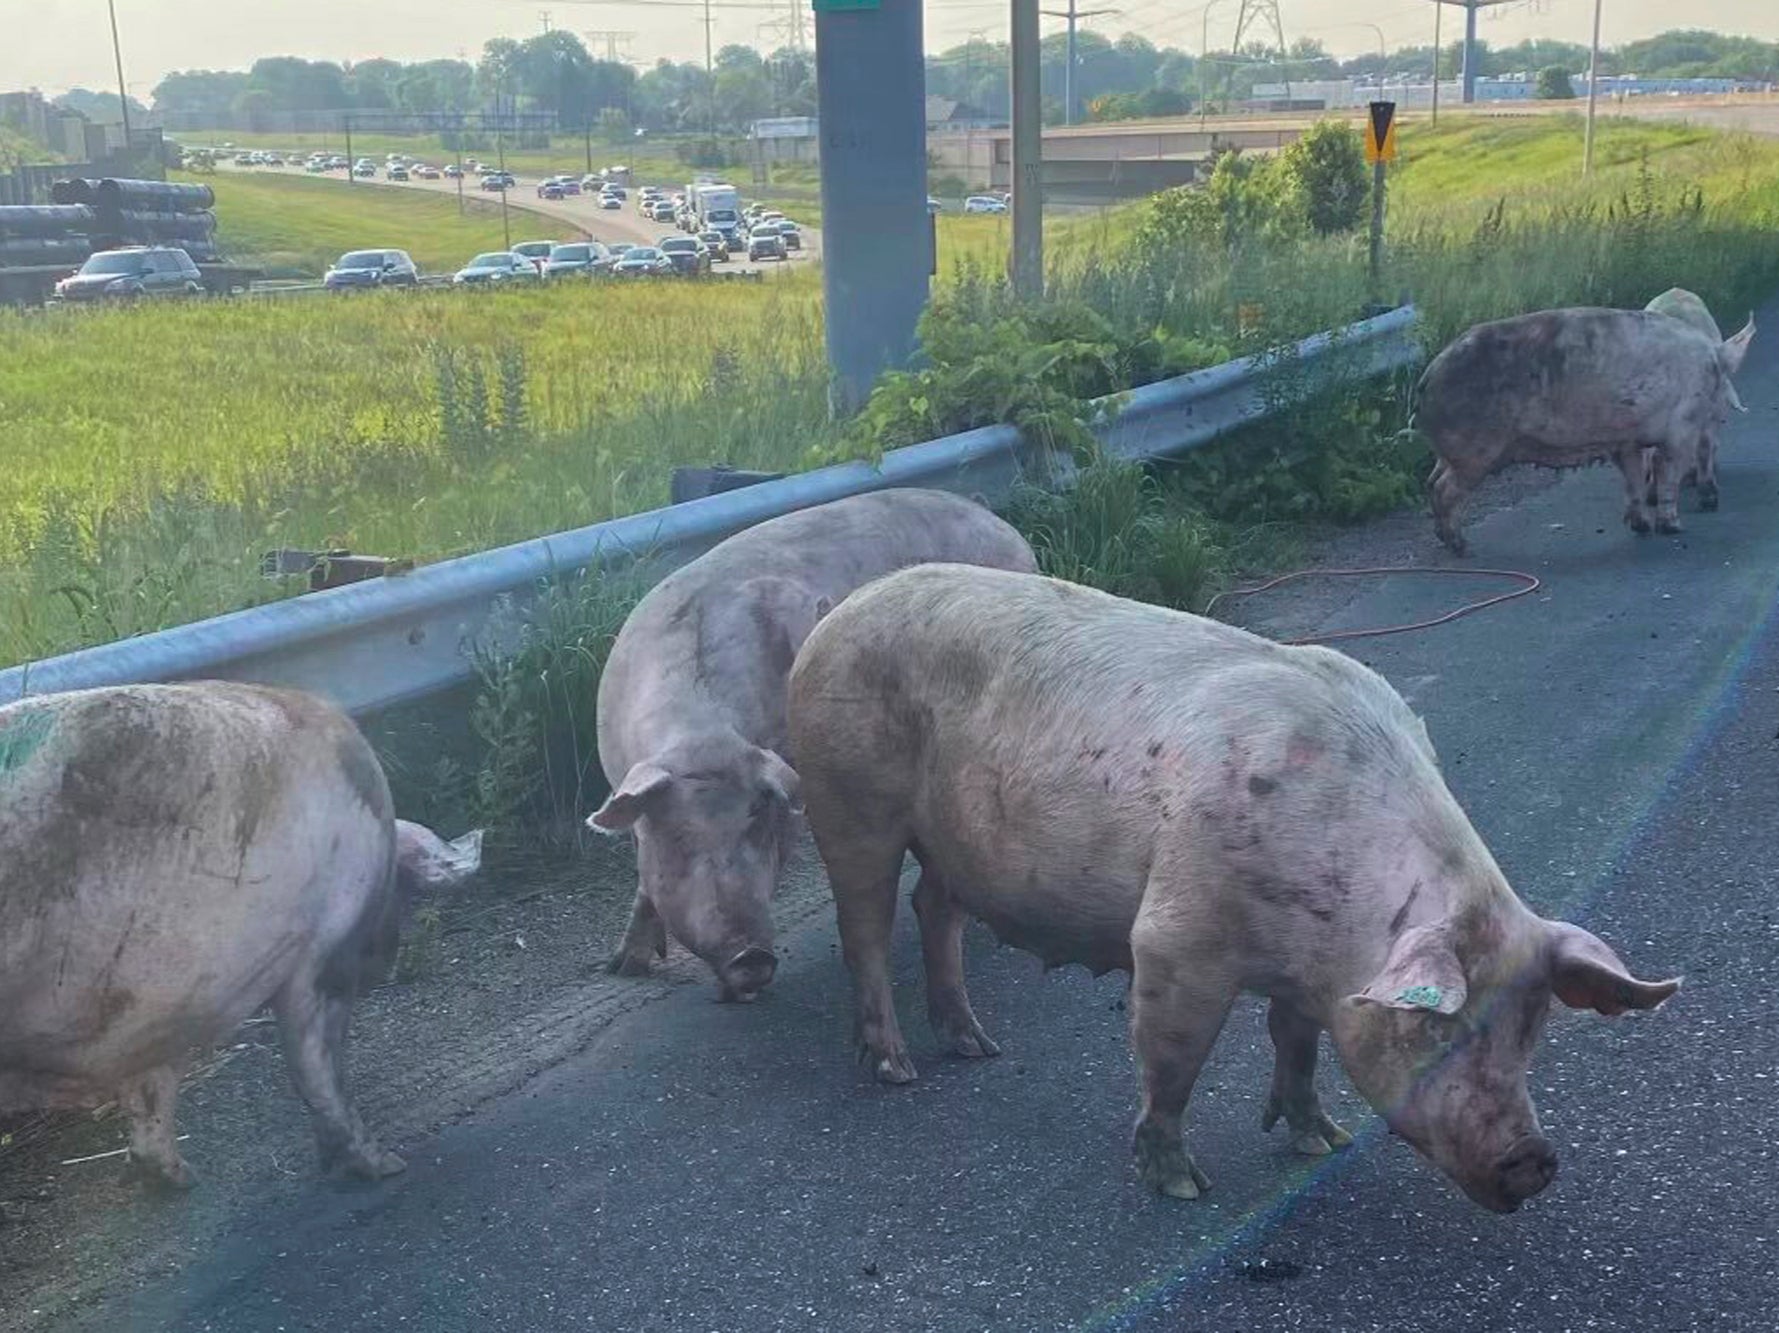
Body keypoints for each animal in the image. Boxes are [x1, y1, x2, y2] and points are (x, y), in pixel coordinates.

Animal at [0, 686, 483, 1188]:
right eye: (399, 889)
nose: (386, 956)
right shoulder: (321, 953)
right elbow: (317, 1066)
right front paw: (385, 1165)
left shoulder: (163, 1004)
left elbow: (153, 1090)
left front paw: (177, 1180)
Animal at [590, 487, 1038, 996]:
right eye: (679, 839)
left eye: (757, 822)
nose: (752, 957)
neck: (699, 735)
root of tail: (1004, 527)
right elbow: (644, 885)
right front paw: (623, 968)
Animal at [793, 565, 1679, 1210]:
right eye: (1434, 1026)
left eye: (1534, 1027)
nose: (1533, 1157)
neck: (1333, 943)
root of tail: (836, 614)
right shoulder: (1175, 941)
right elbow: (1171, 1063)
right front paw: (1183, 1187)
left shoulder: (1307, 968)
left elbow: (1296, 1046)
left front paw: (1321, 1141)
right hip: (849, 801)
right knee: (865, 927)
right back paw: (896, 1068)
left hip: (948, 842)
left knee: (931, 910)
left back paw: (976, 1046)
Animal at [1416, 306, 1750, 551]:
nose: (1725, 414)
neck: (1713, 365)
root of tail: (1427, 376)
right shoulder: (1681, 428)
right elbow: (1666, 471)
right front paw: (1674, 527)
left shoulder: (1626, 440)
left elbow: (1633, 479)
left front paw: (1641, 526)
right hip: (1473, 451)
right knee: (1445, 488)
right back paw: (1460, 546)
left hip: (1449, 453)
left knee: (1432, 482)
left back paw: (1445, 538)